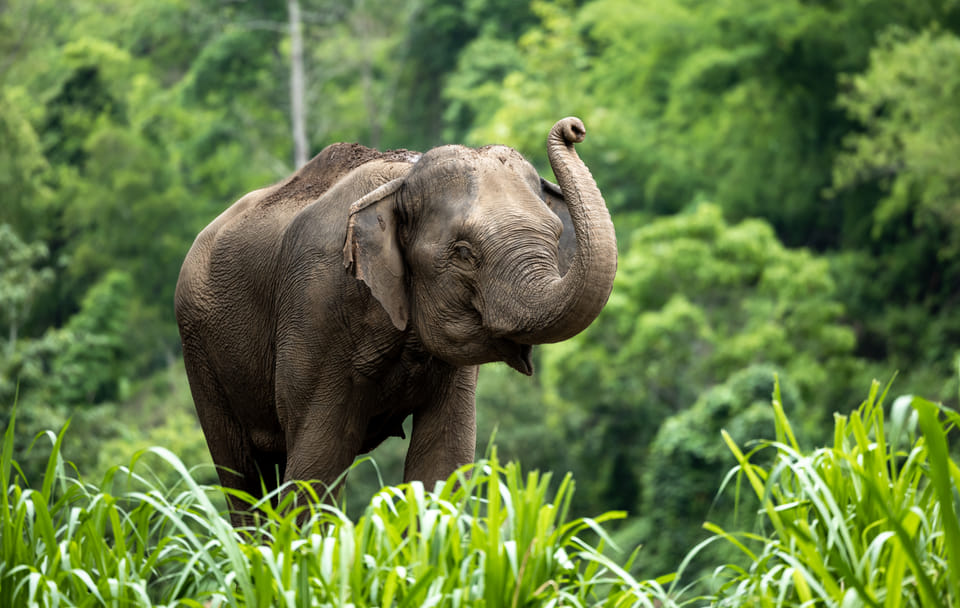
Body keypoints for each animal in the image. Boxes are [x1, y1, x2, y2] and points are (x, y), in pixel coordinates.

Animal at [174, 117, 617, 526]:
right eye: (463, 252)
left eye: (556, 234)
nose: (574, 127)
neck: (403, 179)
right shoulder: (317, 306)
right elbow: (318, 464)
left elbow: (443, 458)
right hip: (199, 348)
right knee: (243, 476)